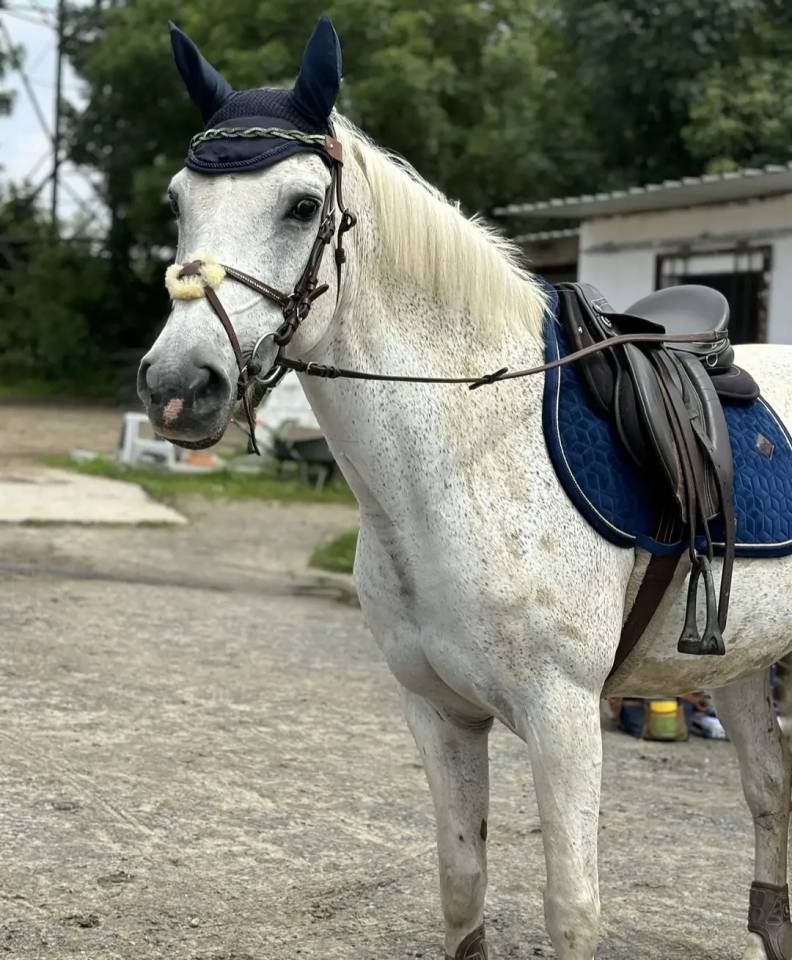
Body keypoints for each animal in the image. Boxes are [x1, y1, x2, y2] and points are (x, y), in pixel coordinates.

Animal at [139, 18, 792, 960]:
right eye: (177, 203)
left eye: (300, 206)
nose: (178, 386)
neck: (461, 461)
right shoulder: (438, 713)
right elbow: (460, 887)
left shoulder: (564, 720)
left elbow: (573, 909)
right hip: (742, 662)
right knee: (769, 797)